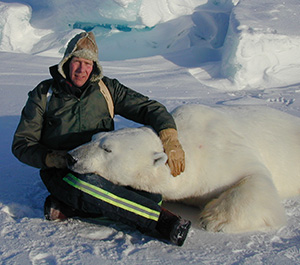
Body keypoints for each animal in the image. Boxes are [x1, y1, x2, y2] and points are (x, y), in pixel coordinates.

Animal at [67, 104, 300, 232]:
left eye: (107, 149)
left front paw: (214, 219)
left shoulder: (225, 154)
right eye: (94, 137)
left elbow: (256, 176)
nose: (72, 157)